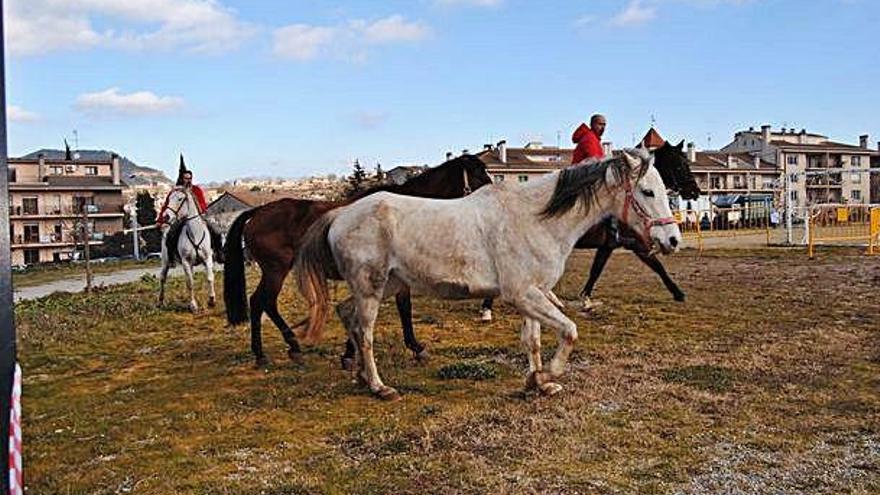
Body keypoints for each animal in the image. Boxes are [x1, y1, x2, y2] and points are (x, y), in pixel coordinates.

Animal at [223, 155, 492, 368]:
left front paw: (350, 353)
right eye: (479, 174)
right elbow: (403, 308)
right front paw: (415, 348)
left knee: (262, 303)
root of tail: (257, 213)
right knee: (262, 302)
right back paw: (272, 351)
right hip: (275, 270)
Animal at [296, 149, 680, 402]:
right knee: (365, 332)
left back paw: (361, 376)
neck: (535, 219)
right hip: (371, 288)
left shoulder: (533, 295)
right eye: (647, 191)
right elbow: (569, 331)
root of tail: (340, 214)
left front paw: (537, 383)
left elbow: (533, 341)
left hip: (385, 285)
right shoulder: (523, 294)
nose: (672, 240)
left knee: (347, 314)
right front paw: (546, 374)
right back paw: (379, 386)